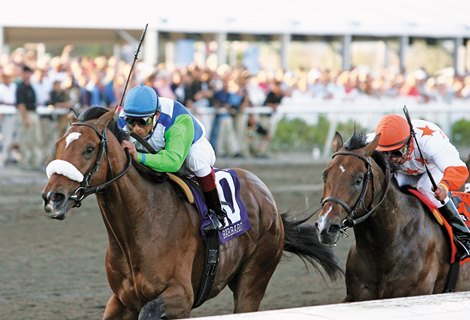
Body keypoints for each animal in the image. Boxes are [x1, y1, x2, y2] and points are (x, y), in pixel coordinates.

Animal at [41, 108, 342, 320]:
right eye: (58, 146)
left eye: (89, 149)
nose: (52, 198)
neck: (141, 224)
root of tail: (268, 199)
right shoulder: (121, 300)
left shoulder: (180, 297)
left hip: (253, 279)